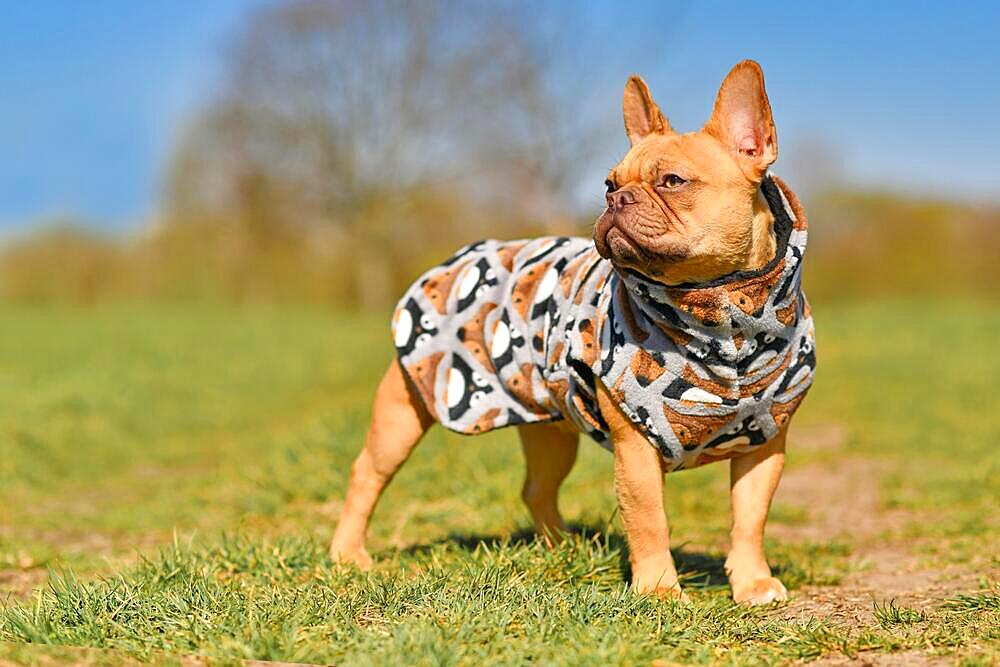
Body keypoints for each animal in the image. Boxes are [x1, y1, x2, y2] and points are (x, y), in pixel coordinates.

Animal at [332, 61, 816, 604]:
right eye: (608, 183)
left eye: (672, 180)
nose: (617, 199)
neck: (725, 317)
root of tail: (456, 258)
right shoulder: (637, 449)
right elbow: (649, 520)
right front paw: (660, 591)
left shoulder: (764, 443)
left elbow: (750, 518)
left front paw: (752, 582)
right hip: (403, 412)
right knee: (367, 475)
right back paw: (347, 554)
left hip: (551, 427)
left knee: (537, 488)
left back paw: (563, 547)